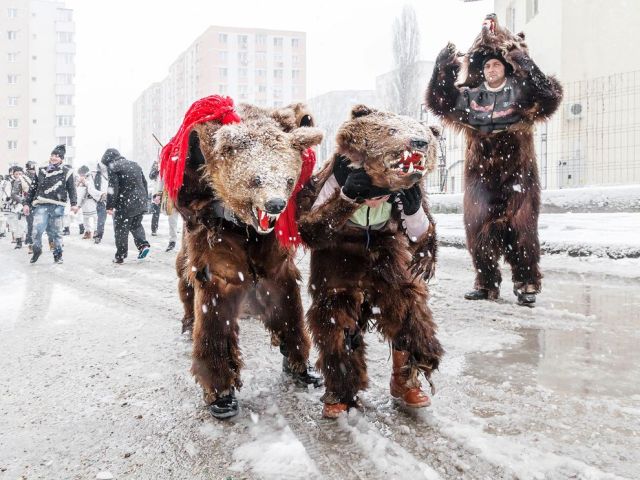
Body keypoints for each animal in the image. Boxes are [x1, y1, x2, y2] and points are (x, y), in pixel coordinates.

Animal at [161, 96, 324, 419]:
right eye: (255, 178)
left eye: (289, 179)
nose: (276, 204)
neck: (246, 226)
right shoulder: (217, 233)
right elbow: (216, 303)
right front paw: (221, 393)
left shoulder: (273, 252)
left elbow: (286, 299)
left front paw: (300, 366)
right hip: (193, 250)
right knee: (190, 286)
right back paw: (191, 328)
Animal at [296, 104, 444, 418]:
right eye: (391, 129)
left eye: (425, 134)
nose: (419, 142)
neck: (379, 190)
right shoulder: (326, 185)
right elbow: (310, 225)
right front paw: (353, 187)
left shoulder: (403, 217)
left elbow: (418, 229)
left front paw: (425, 256)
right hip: (338, 271)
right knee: (336, 321)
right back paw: (339, 394)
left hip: (388, 262)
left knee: (406, 309)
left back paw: (412, 377)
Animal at [426, 14, 563, 306]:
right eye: (486, 64)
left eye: (507, 29)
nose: (491, 15)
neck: (496, 88)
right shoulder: (466, 100)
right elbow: (444, 98)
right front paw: (447, 54)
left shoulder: (526, 98)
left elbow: (549, 93)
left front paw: (516, 53)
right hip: (479, 191)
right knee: (478, 235)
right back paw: (482, 287)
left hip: (521, 187)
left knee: (524, 236)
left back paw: (527, 289)